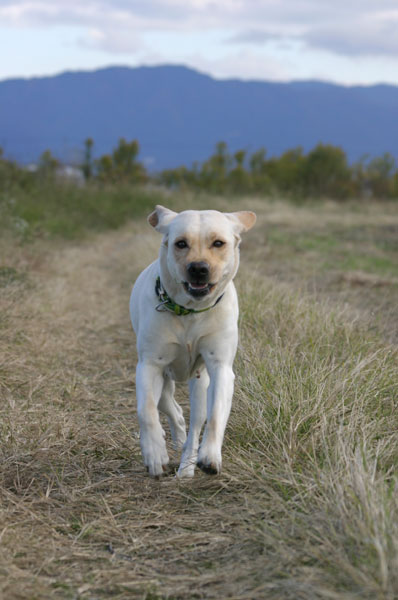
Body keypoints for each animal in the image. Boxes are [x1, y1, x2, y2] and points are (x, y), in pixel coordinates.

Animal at [129, 206, 256, 478]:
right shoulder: (149, 365)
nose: (198, 268)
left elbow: (216, 413)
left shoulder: (220, 367)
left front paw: (210, 456)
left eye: (218, 243)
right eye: (180, 243)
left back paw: (187, 465)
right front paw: (154, 453)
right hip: (163, 380)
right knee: (171, 409)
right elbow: (146, 411)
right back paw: (173, 441)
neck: (189, 311)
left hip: (199, 385)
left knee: (195, 424)